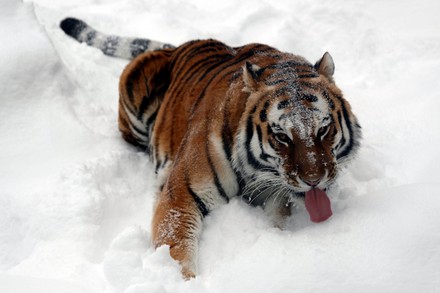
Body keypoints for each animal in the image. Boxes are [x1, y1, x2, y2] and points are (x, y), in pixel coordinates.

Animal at [59, 17, 360, 278]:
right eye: (282, 136)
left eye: (323, 129)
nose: (314, 180)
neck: (255, 171)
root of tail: (176, 47)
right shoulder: (180, 198)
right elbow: (174, 249)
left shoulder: (274, 198)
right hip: (134, 90)